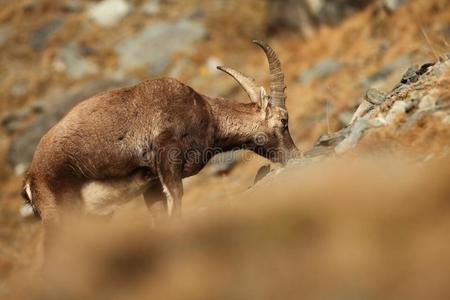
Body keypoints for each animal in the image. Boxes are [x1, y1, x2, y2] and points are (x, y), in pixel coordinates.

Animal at [22, 40, 300, 248]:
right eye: (284, 121)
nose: (295, 155)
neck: (205, 112)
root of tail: (31, 178)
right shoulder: (167, 157)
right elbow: (176, 202)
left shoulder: (152, 184)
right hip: (61, 218)